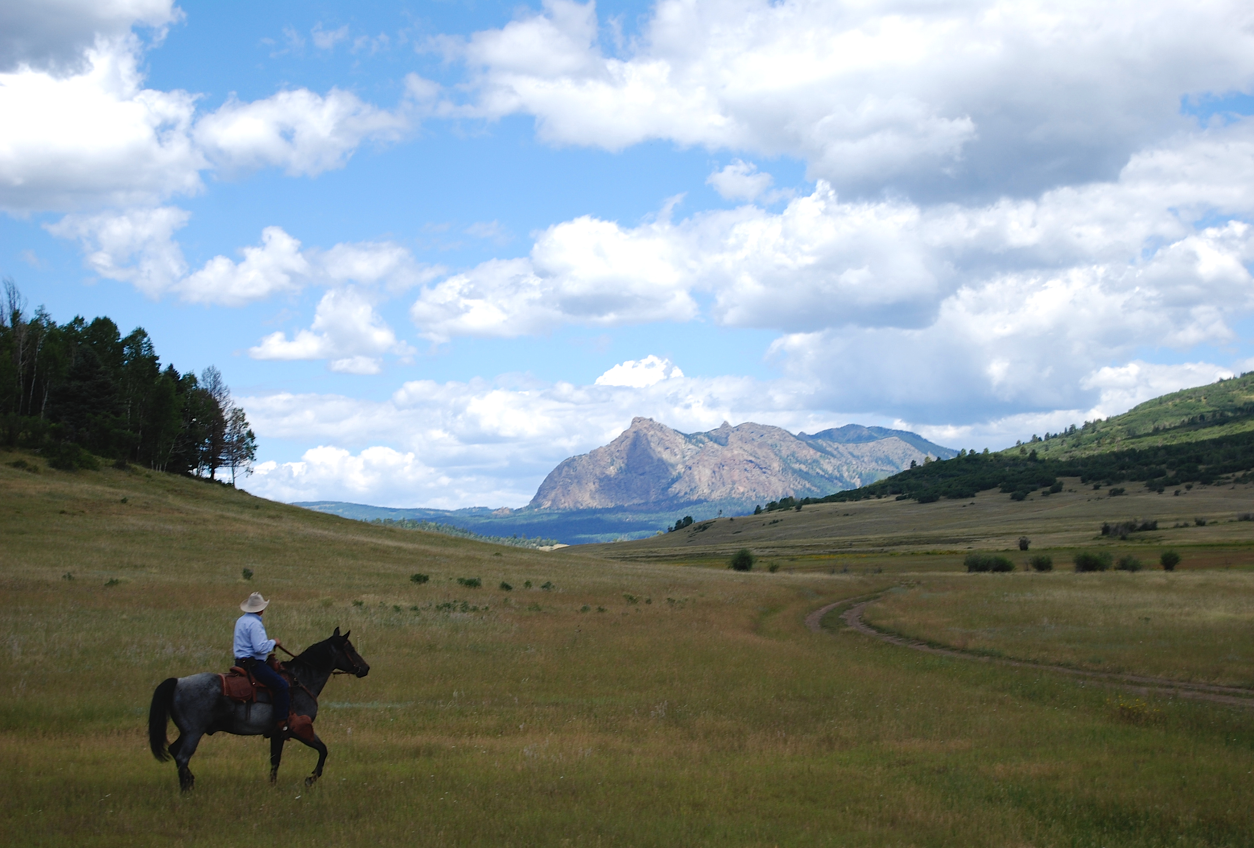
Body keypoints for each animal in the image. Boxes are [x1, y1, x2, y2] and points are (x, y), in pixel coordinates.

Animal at [148, 627, 369, 791]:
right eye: (350, 649)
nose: (365, 668)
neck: (301, 680)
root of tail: (178, 682)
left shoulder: (278, 734)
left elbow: (275, 761)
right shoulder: (296, 730)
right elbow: (321, 750)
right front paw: (310, 779)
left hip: (186, 732)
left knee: (174, 751)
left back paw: (189, 783)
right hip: (194, 733)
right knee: (182, 757)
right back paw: (187, 790)